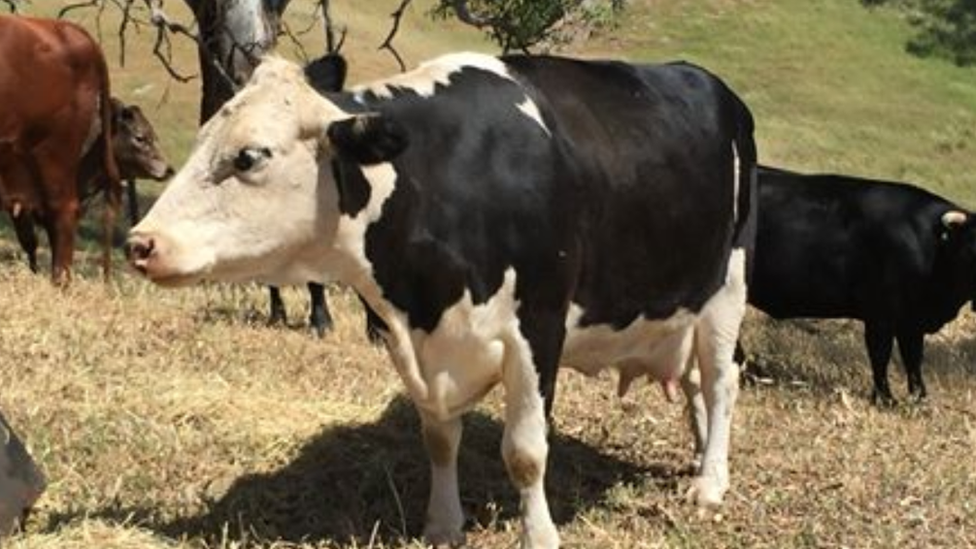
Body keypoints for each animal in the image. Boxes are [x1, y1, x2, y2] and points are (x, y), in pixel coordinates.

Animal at [127, 52, 756, 548]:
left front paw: (539, 535)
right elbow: (438, 439)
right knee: (696, 381)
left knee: (721, 380)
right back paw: (703, 455)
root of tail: (706, 80)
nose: (140, 243)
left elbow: (525, 452)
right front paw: (443, 525)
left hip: (727, 286)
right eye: (203, 137)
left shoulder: (538, 326)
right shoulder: (414, 342)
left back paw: (711, 482)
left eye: (249, 157)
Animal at [748, 166, 976, 402]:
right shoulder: (880, 315)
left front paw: (919, 397)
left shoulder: (911, 321)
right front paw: (885, 398)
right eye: (971, 247)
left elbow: (913, 358)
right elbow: (880, 355)